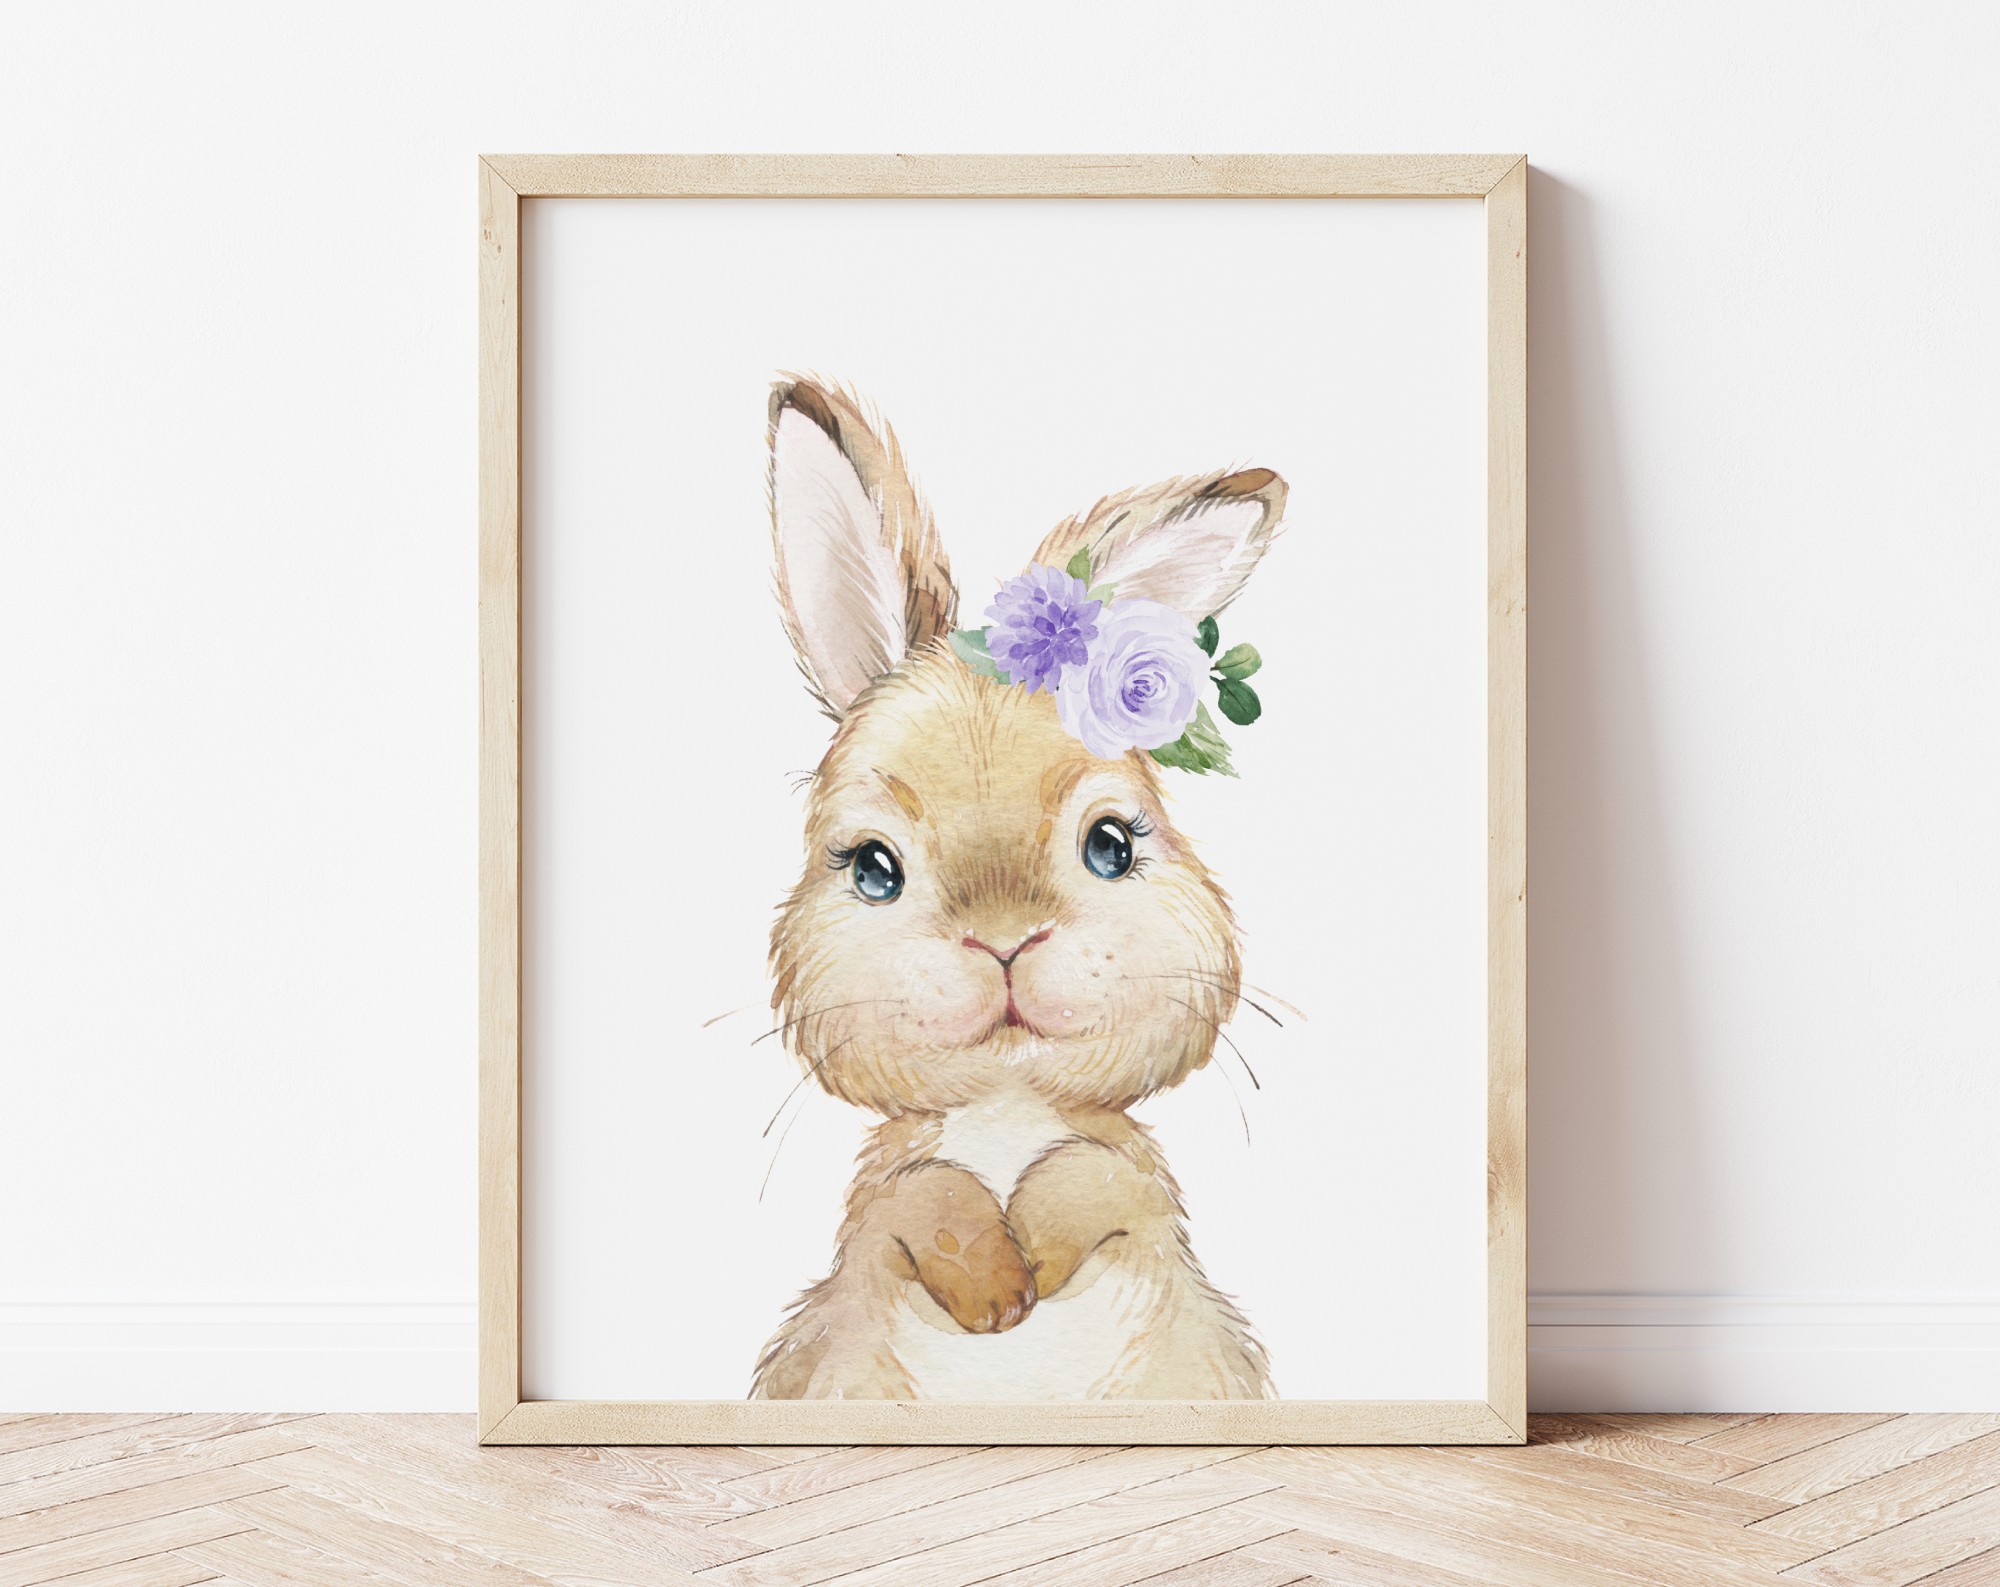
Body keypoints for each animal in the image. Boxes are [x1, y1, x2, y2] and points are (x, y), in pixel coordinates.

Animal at [749, 376, 1283, 1401]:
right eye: (872, 867)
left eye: (1111, 845)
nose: (1002, 942)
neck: (1005, 1104)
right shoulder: (881, 1214)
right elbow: (920, 1196)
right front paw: (993, 1295)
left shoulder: (1138, 1197)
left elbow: (1092, 1176)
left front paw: (1029, 1261)